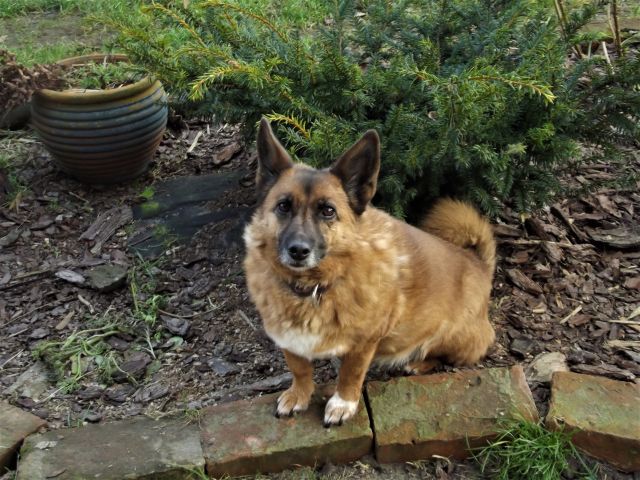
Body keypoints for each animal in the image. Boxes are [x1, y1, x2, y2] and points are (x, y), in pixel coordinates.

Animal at [244, 118, 496, 426]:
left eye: (328, 211)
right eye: (283, 206)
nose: (298, 251)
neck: (314, 287)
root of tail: (479, 264)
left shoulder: (364, 343)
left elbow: (350, 374)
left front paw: (343, 404)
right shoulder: (288, 339)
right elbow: (299, 368)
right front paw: (299, 395)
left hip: (453, 337)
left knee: (445, 355)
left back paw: (418, 362)